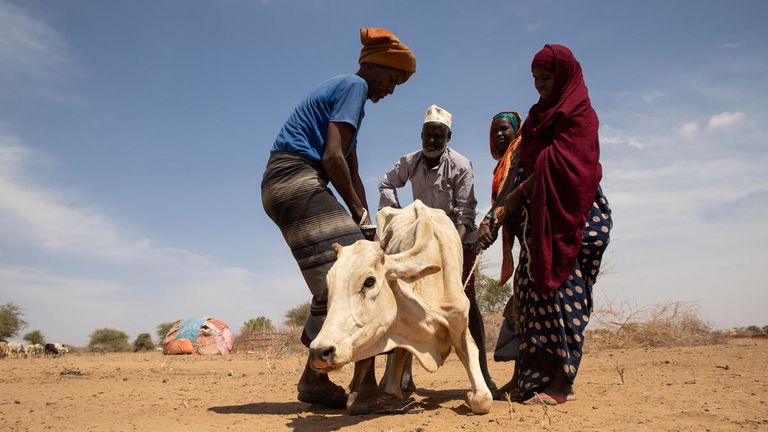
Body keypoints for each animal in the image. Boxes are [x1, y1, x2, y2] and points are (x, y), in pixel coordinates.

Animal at [310, 199, 492, 416]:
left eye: (369, 281)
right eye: (329, 284)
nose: (320, 351)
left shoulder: (460, 325)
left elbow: (482, 399)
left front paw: (471, 395)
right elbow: (395, 370)